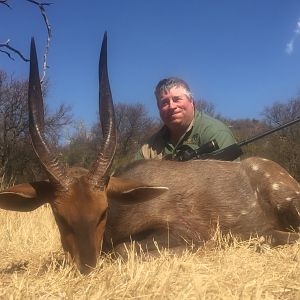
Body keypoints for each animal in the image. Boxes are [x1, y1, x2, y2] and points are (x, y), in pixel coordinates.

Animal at [0, 32, 300, 274]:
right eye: (59, 216)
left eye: (103, 211)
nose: (86, 267)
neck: (124, 208)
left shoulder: (185, 233)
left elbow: (122, 250)